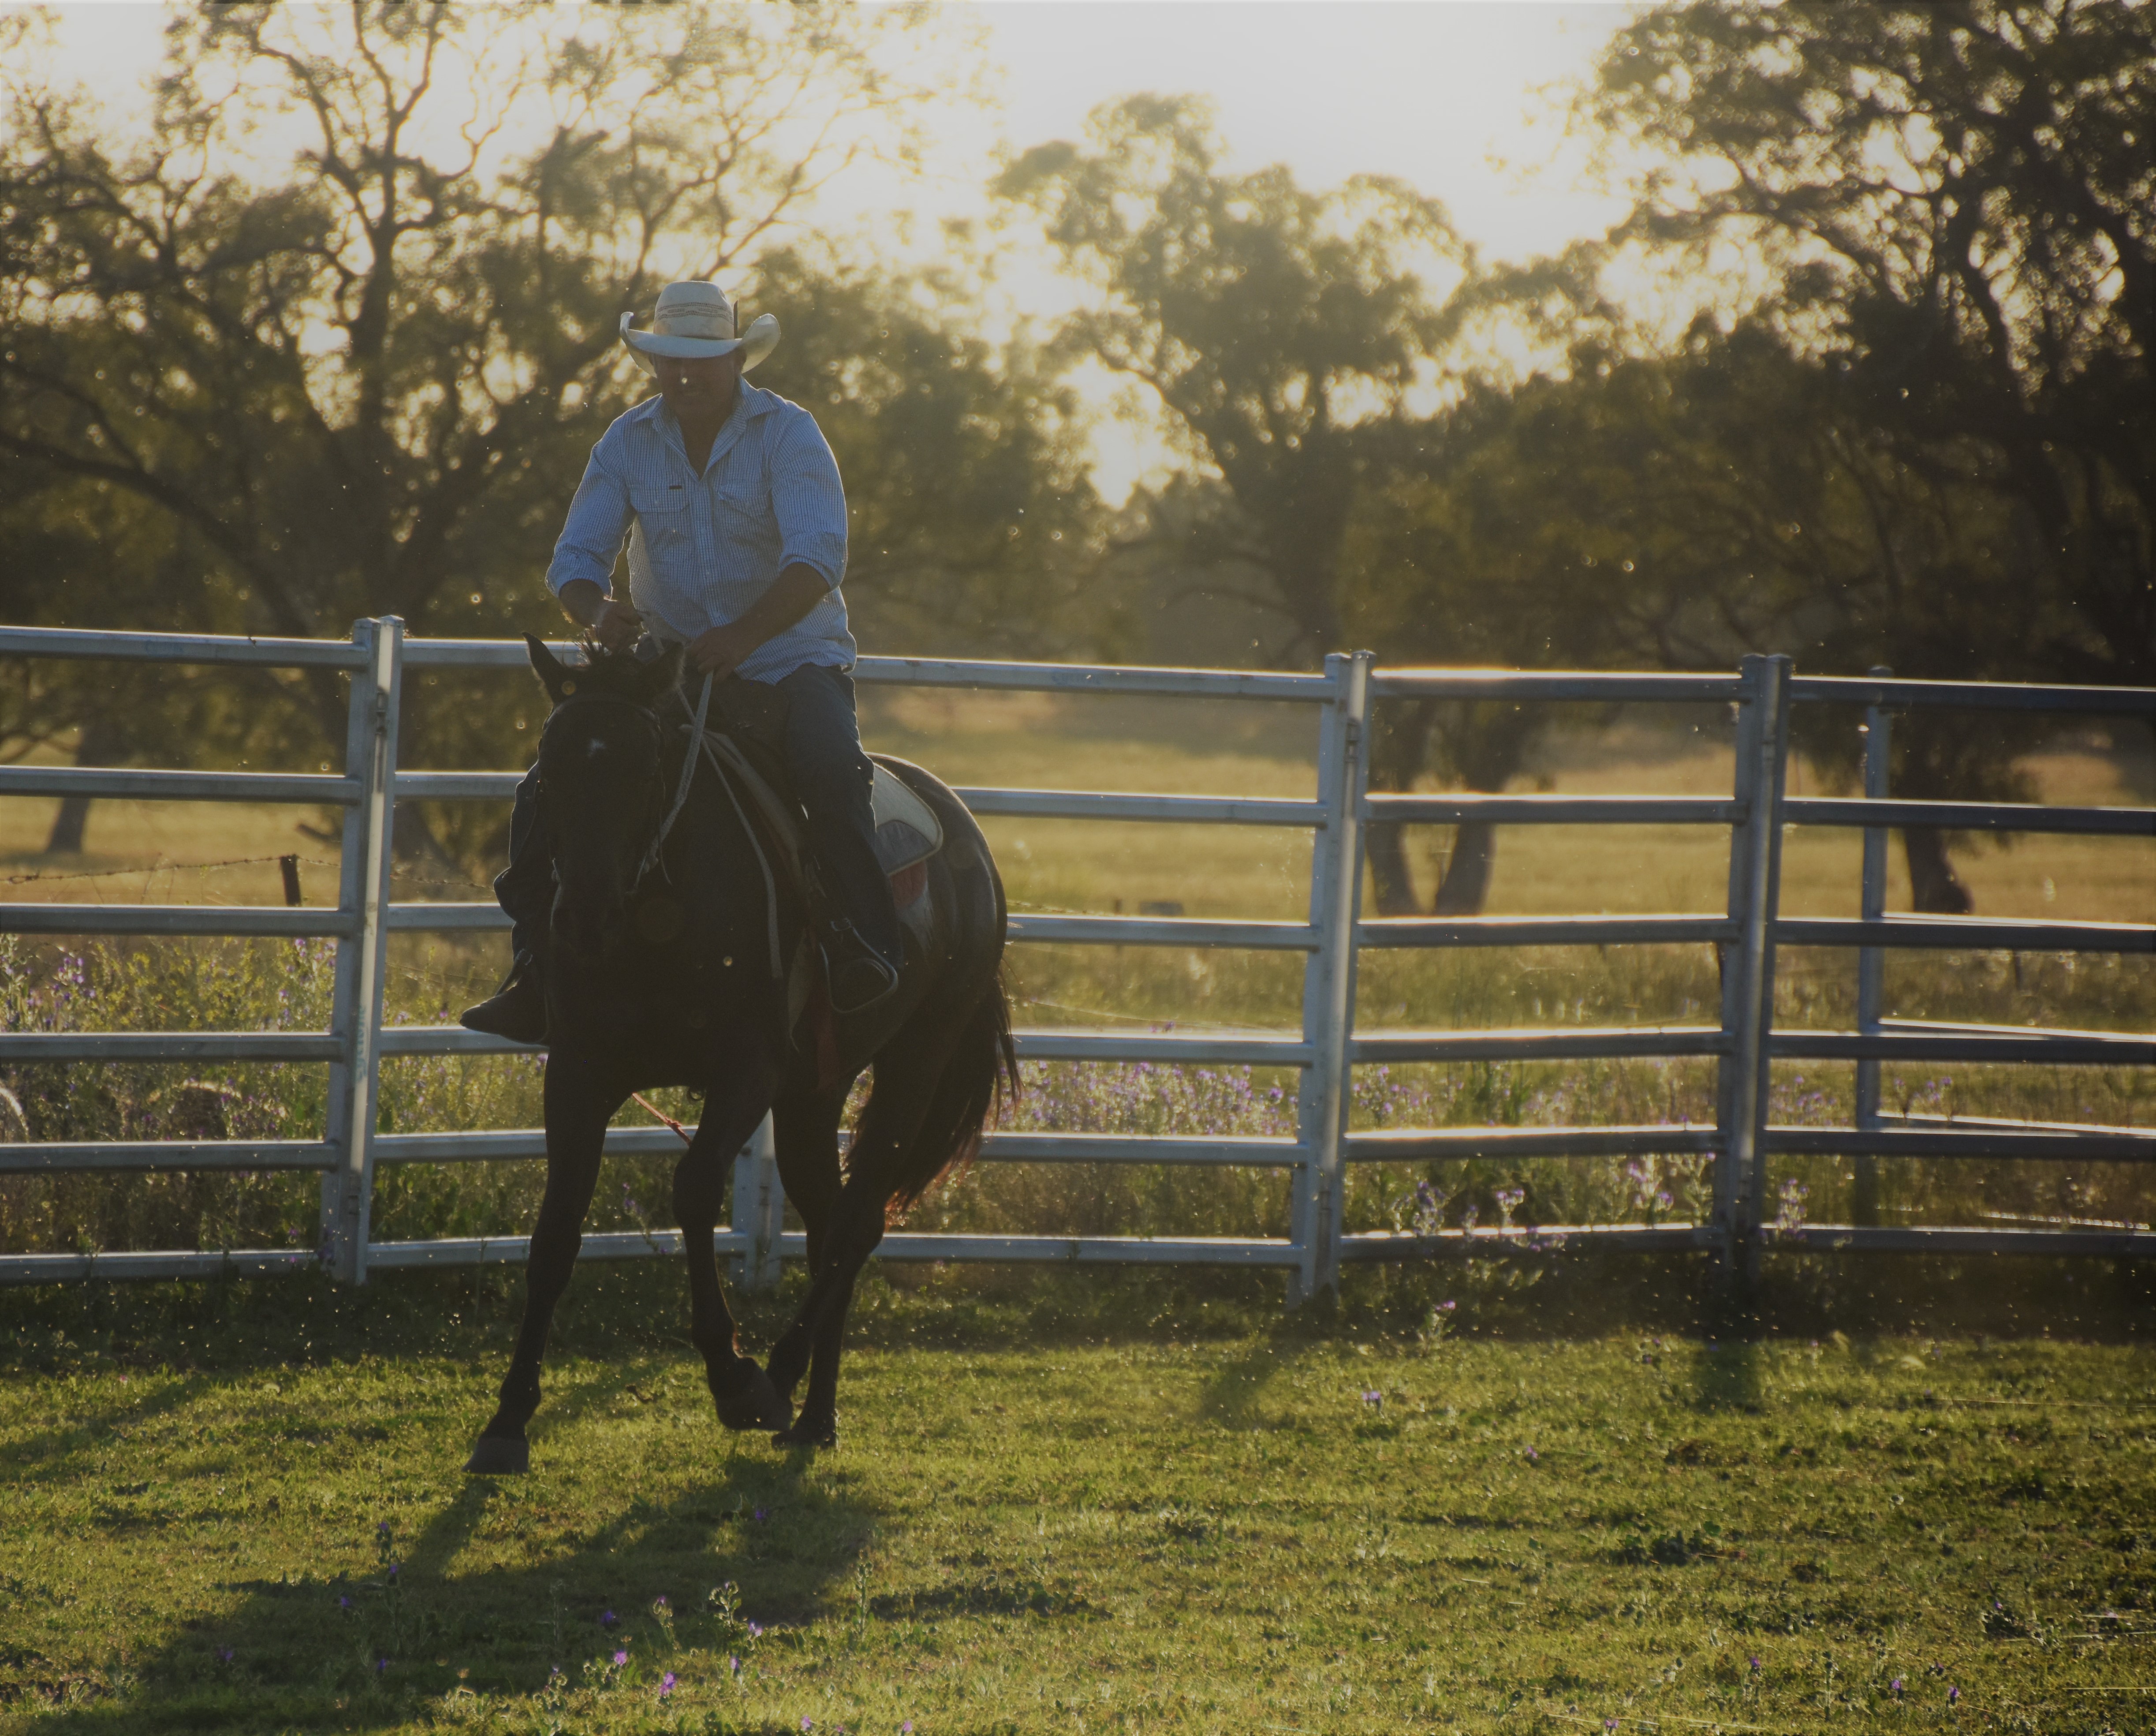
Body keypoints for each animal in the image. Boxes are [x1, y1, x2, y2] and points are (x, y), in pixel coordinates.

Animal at [464, 637, 1014, 1468]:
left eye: (647, 769)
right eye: (549, 772)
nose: (584, 915)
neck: (661, 908)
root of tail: (968, 837)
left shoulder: (747, 1072)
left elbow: (694, 1190)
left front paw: (732, 1375)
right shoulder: (580, 1071)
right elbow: (556, 1227)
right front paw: (506, 1420)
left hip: (918, 1057)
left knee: (858, 1221)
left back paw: (780, 1375)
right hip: (816, 1092)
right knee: (828, 1221)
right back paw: (815, 1414)